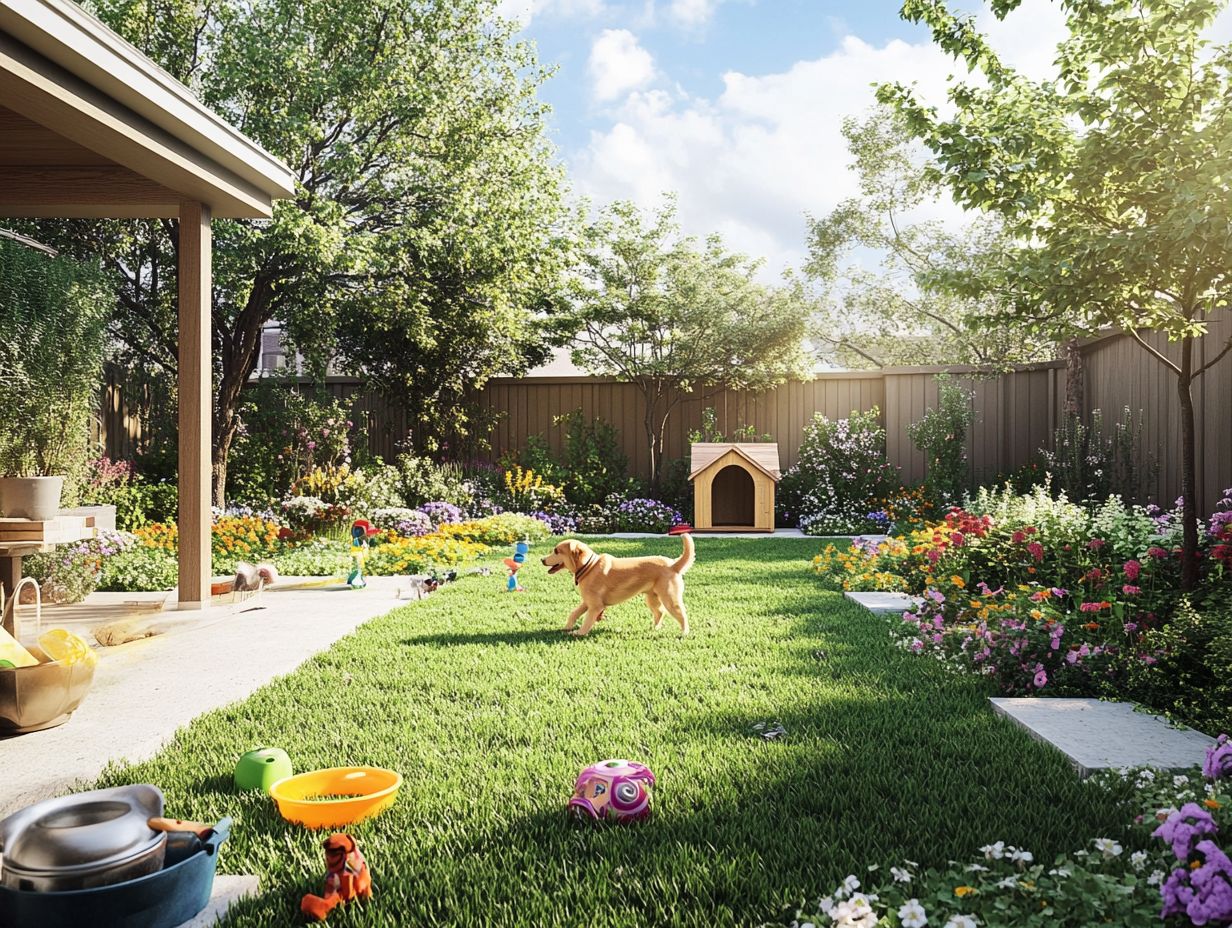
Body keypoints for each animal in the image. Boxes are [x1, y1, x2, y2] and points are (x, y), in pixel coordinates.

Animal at [542, 532, 694, 635]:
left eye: (556, 551)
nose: (542, 559)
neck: (589, 566)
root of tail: (673, 565)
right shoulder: (587, 602)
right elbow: (574, 613)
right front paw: (567, 627)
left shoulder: (595, 606)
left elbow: (587, 621)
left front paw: (579, 633)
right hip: (652, 598)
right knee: (660, 613)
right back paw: (654, 629)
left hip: (670, 599)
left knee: (682, 615)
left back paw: (684, 633)